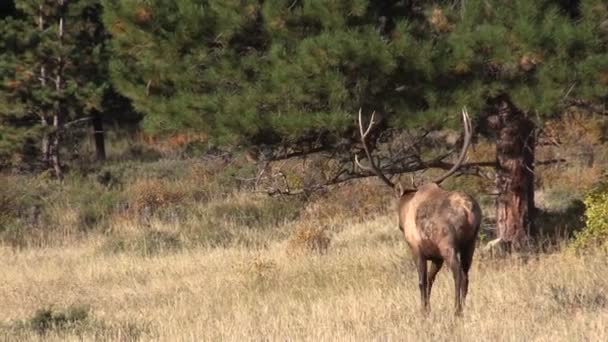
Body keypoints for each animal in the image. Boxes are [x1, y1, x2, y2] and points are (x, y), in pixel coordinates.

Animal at [356, 108, 480, 316]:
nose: (399, 224)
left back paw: (456, 311)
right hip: (470, 243)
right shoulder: (435, 256)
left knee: (458, 275)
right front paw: (427, 308)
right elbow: (430, 280)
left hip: (448, 243)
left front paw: (423, 311)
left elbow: (421, 281)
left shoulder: (416, 248)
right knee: (466, 274)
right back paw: (463, 308)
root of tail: (468, 209)